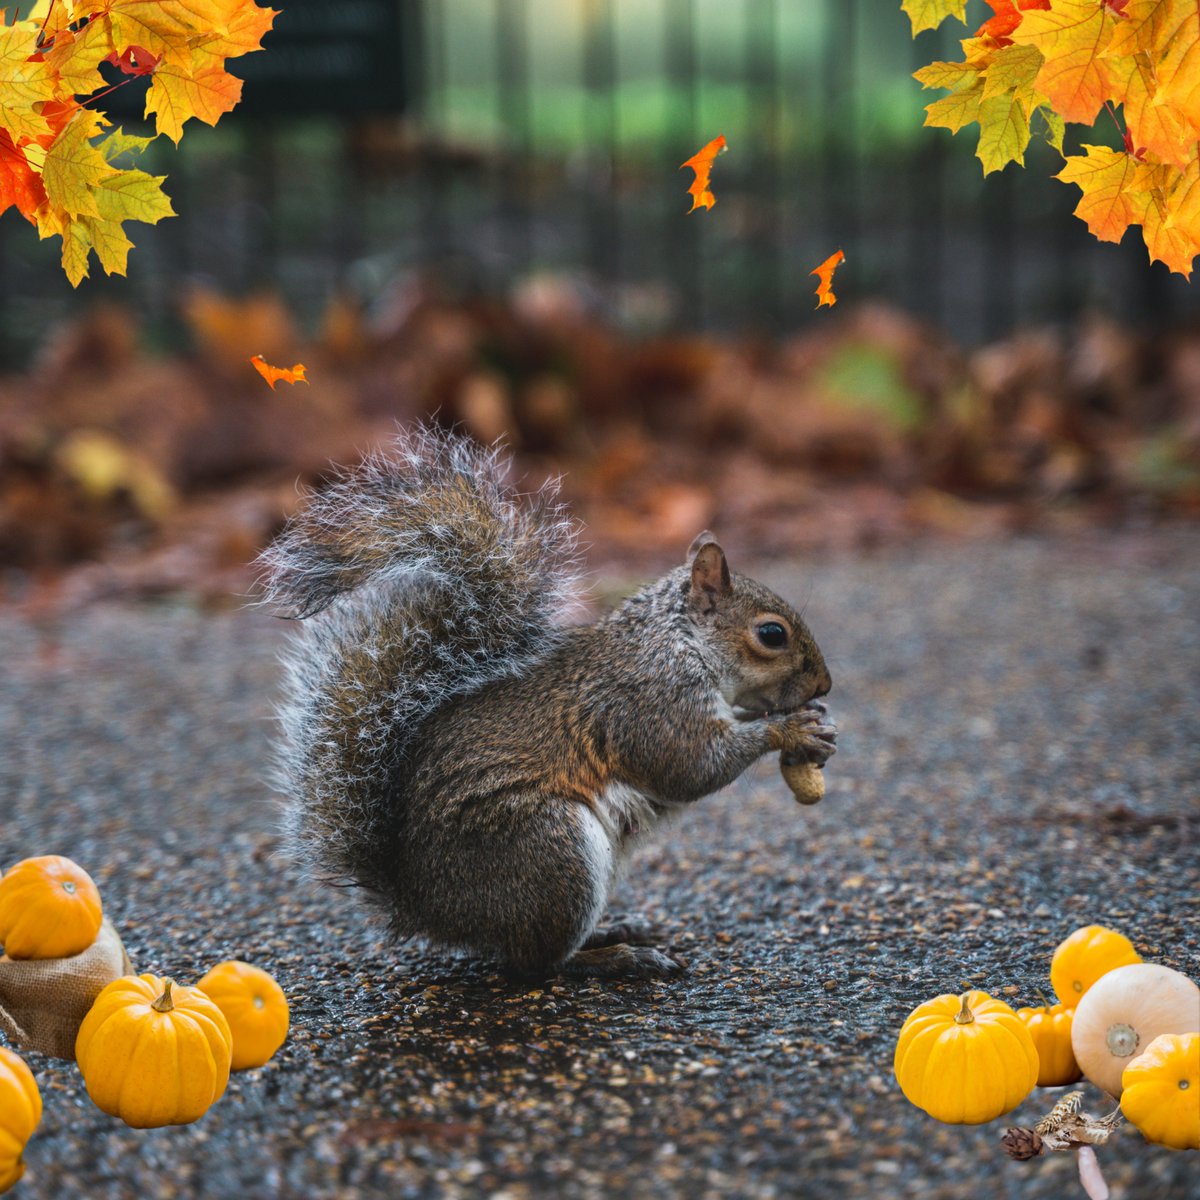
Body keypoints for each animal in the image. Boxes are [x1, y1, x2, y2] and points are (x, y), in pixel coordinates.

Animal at [259, 425, 836, 980]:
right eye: (771, 634)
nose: (825, 686)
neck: (679, 642)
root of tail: (425, 909)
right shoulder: (649, 700)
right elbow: (688, 765)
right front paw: (789, 729)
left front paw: (813, 726)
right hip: (549, 850)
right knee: (534, 963)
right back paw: (613, 958)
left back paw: (614, 931)